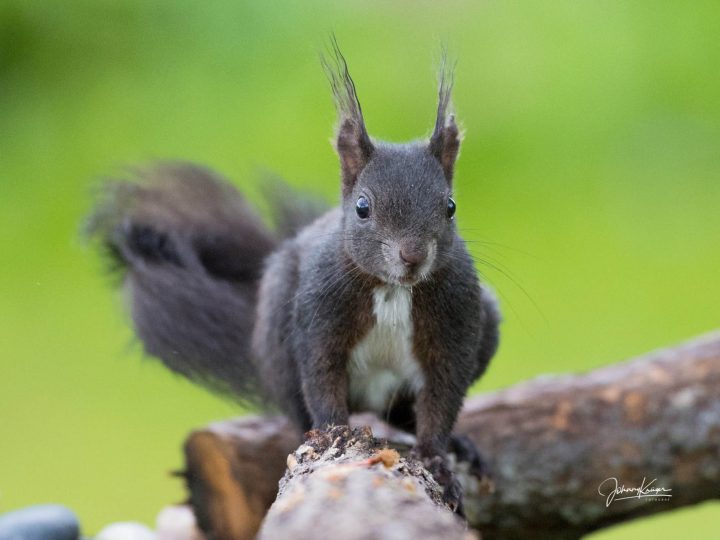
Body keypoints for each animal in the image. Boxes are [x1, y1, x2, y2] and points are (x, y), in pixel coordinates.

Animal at [87, 42, 498, 510]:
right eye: (362, 207)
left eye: (450, 206)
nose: (412, 256)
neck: (394, 291)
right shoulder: (320, 312)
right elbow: (321, 374)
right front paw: (337, 436)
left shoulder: (456, 322)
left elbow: (442, 396)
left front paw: (437, 458)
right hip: (277, 325)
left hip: (487, 320)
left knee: (400, 414)